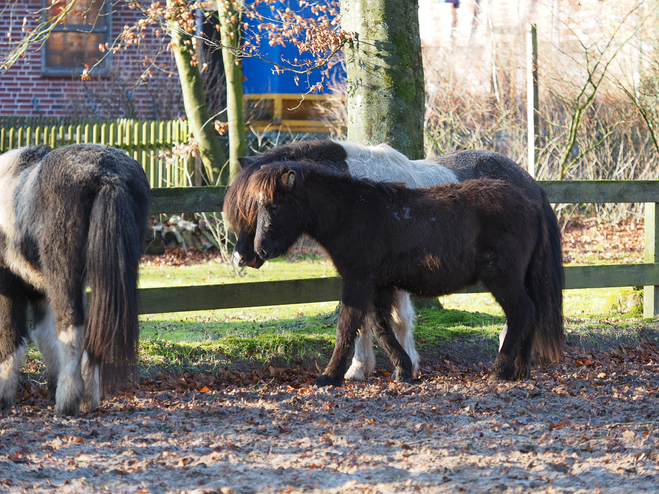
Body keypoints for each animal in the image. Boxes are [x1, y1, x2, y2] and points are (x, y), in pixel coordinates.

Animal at [0, 145, 151, 414]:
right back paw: (88, 399)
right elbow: (46, 338)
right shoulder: (41, 293)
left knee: (72, 327)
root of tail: (107, 174)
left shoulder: (10, 285)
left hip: (65, 276)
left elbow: (11, 337)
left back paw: (67, 401)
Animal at [231, 140, 564, 382]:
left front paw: (334, 375)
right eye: (253, 205)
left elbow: (351, 325)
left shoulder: (359, 280)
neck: (356, 211)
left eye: (271, 205)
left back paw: (501, 370)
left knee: (521, 313)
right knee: (531, 312)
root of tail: (532, 194)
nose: (250, 253)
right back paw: (519, 369)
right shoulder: (380, 284)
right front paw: (400, 369)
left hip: (502, 278)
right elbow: (379, 326)